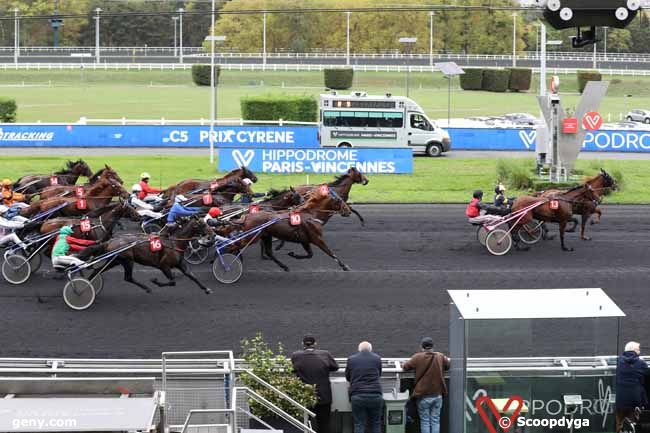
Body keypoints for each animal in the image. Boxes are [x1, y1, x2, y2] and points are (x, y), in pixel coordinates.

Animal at [76, 215, 213, 294]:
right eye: (202, 224)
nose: (212, 234)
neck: (174, 243)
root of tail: (110, 241)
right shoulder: (164, 265)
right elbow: (172, 281)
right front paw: (155, 281)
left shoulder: (180, 264)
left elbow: (192, 276)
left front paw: (206, 289)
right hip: (127, 260)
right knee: (128, 277)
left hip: (115, 260)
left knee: (97, 271)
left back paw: (86, 286)